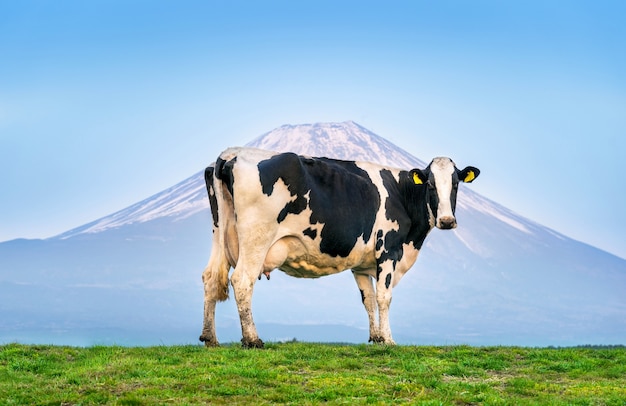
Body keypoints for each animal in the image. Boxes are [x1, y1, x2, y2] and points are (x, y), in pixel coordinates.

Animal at [200, 147, 478, 348]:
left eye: (455, 184)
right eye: (430, 184)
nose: (447, 221)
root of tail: (231, 154)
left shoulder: (362, 265)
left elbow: (368, 299)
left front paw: (376, 338)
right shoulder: (388, 249)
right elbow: (384, 297)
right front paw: (389, 340)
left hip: (218, 232)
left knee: (211, 277)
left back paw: (210, 338)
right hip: (256, 237)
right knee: (242, 280)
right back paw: (252, 339)